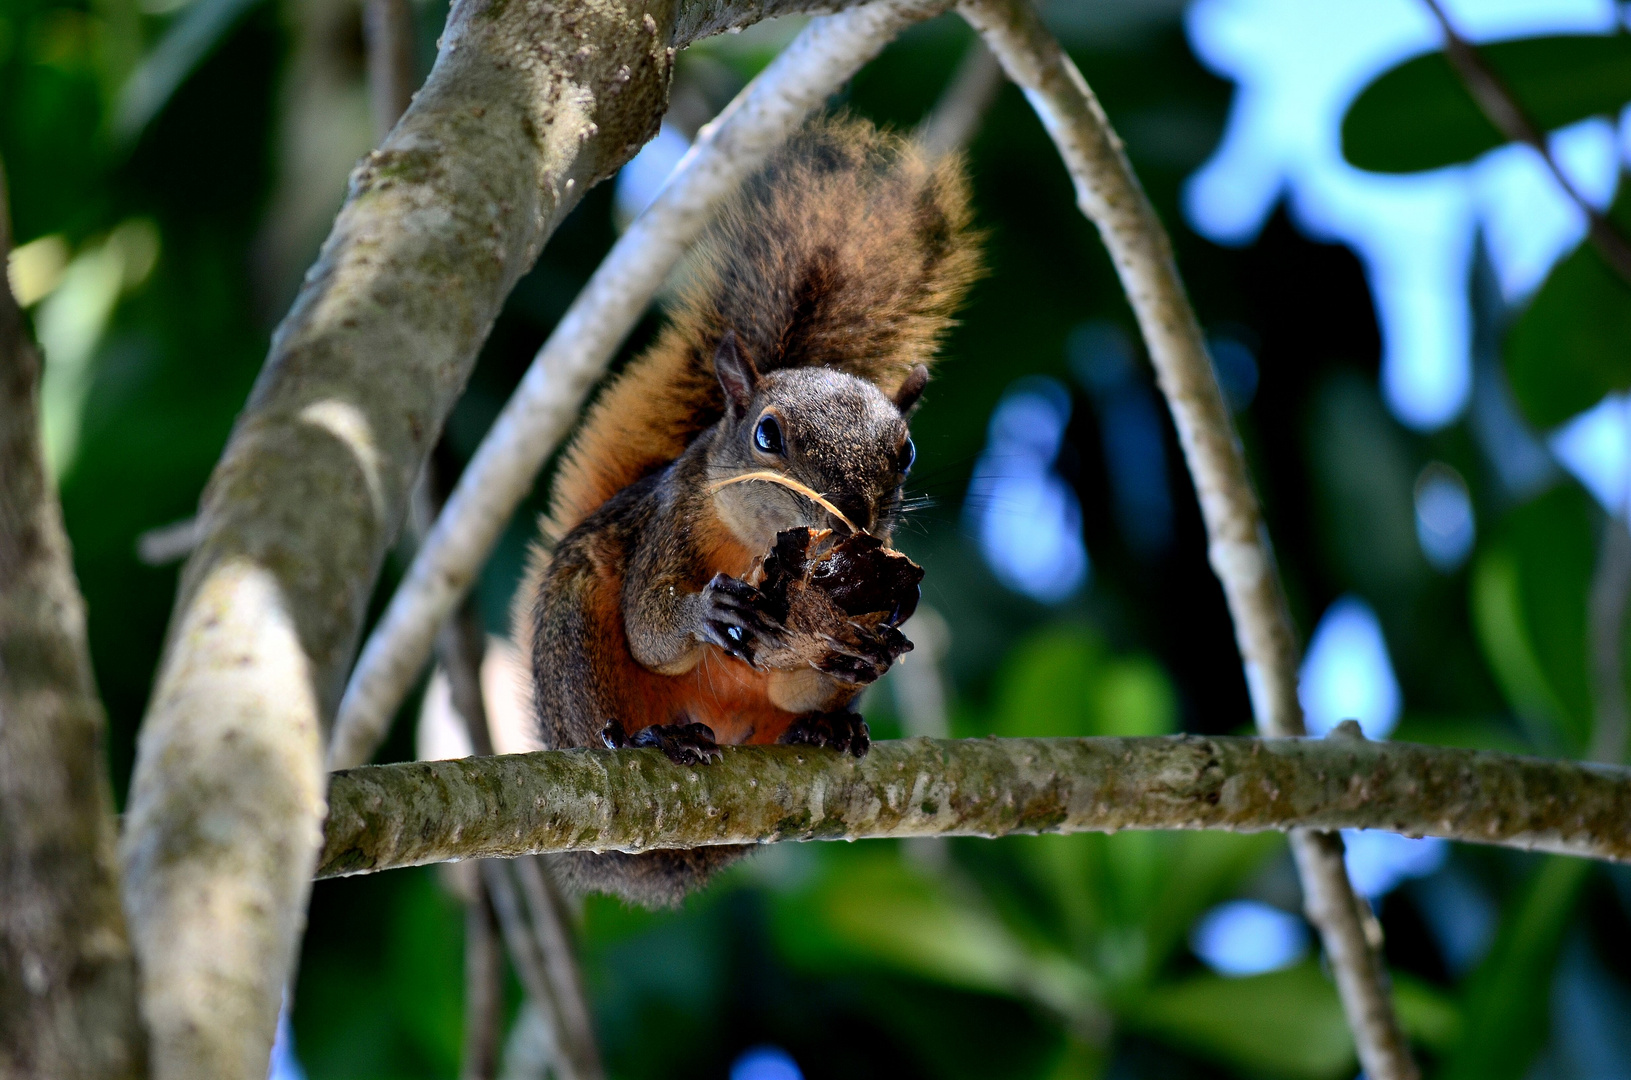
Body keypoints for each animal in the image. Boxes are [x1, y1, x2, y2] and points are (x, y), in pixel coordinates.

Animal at [518, 114, 978, 907]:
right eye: (767, 435)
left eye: (908, 451)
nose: (852, 516)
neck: (763, 550)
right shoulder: (667, 522)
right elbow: (649, 629)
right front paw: (709, 610)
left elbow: (809, 671)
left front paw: (878, 637)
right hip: (573, 644)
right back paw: (650, 738)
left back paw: (827, 730)